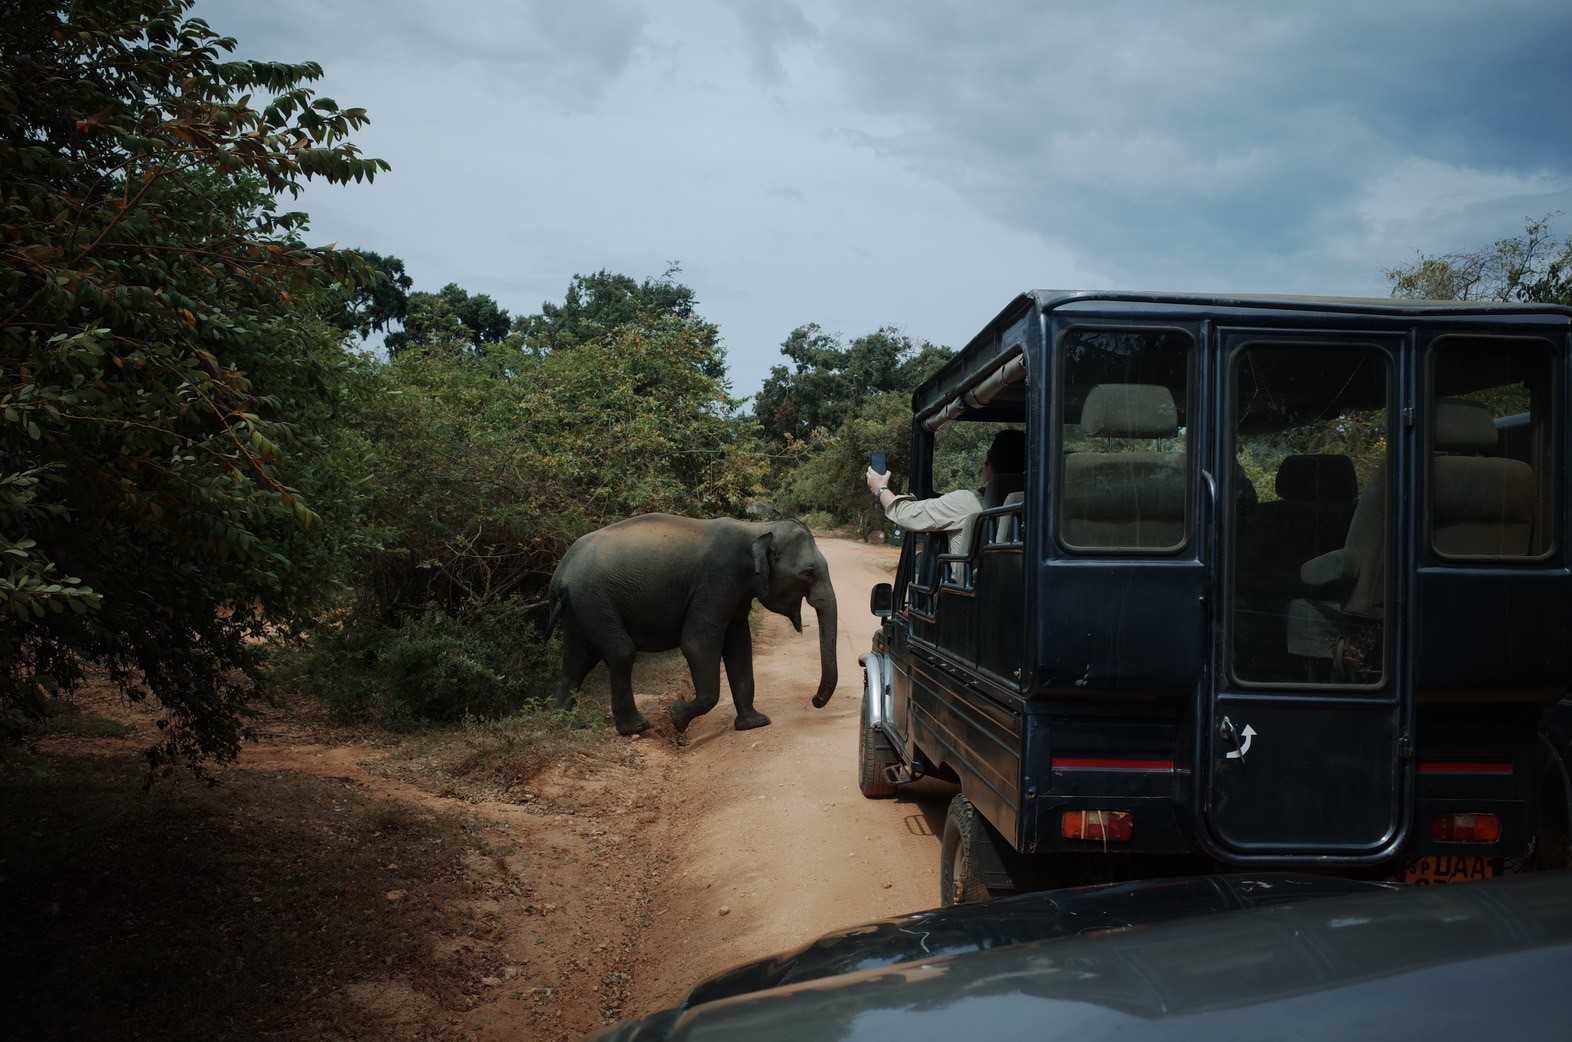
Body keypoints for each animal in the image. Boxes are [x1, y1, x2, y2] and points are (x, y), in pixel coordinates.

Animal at [545, 514, 838, 736]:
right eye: (808, 573)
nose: (814, 700)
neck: (755, 528)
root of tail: (560, 574)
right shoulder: (717, 581)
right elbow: (697, 644)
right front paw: (676, 718)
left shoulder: (736, 593)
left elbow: (739, 646)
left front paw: (755, 724)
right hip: (593, 599)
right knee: (620, 652)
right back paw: (637, 728)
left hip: (580, 607)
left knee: (578, 659)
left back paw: (565, 725)